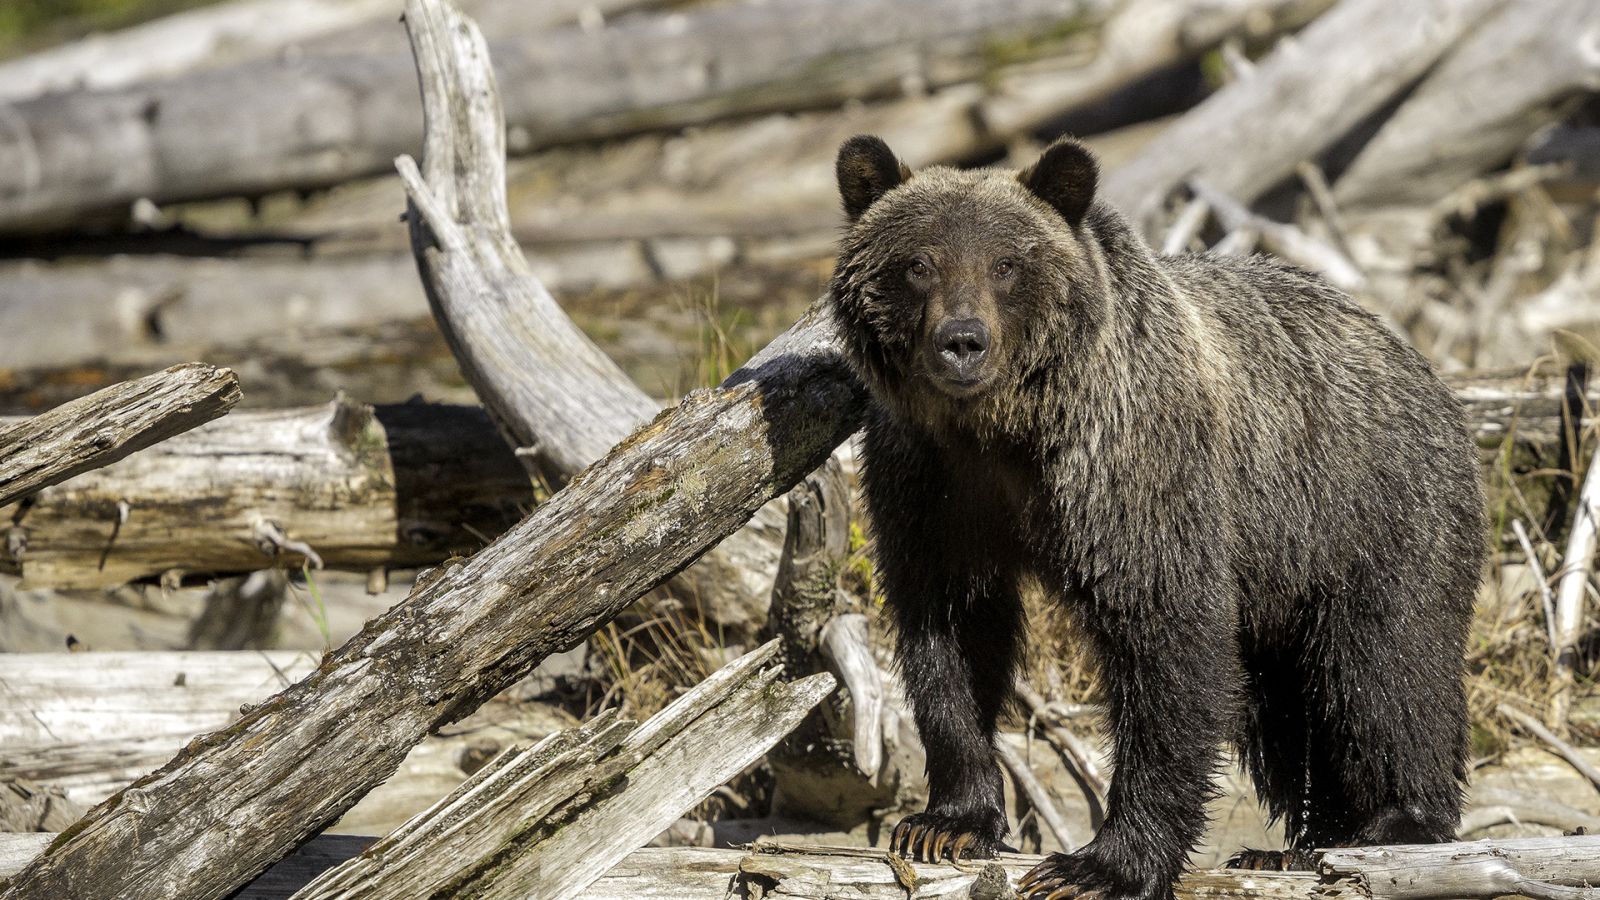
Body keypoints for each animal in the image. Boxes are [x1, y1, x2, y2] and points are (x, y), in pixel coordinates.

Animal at [832, 134, 1478, 896]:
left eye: (1007, 264)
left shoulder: (1133, 472)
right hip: (1281, 578)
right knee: (1285, 708)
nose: (963, 340)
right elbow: (952, 635)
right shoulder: (930, 487)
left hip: (1367, 513)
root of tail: (1421, 361)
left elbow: (1165, 639)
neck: (1005, 431)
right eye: (918, 264)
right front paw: (947, 823)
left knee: (1386, 669)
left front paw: (1101, 864)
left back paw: (1391, 822)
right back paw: (1299, 842)